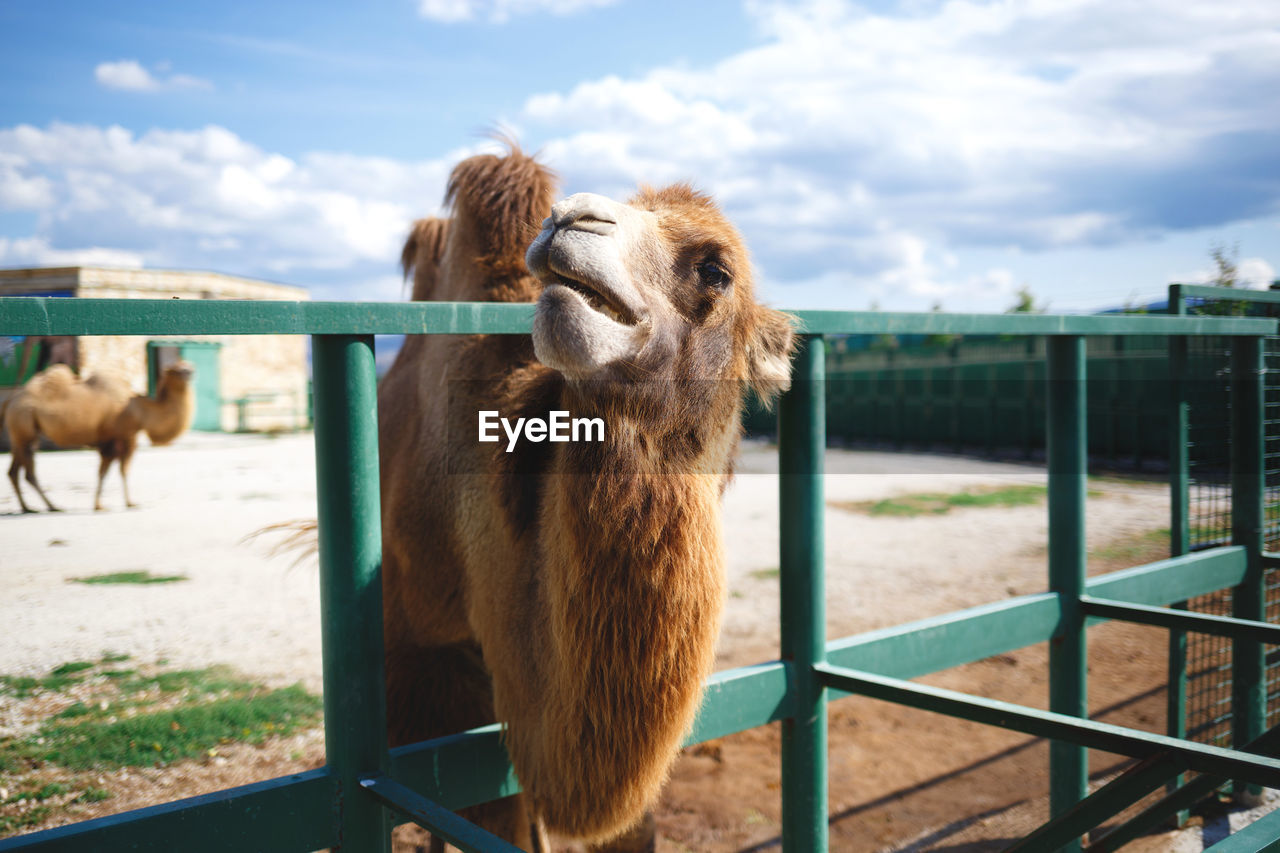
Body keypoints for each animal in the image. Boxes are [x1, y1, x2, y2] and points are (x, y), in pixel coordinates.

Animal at [3, 361, 195, 512]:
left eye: (187, 367)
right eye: (179, 370)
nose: (191, 372)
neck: (140, 410)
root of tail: (11, 401)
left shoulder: (111, 441)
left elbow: (106, 472)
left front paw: (101, 504)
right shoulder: (123, 438)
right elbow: (117, 471)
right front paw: (127, 503)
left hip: (20, 433)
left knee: (13, 471)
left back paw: (27, 507)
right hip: (24, 425)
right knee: (29, 473)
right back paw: (52, 506)